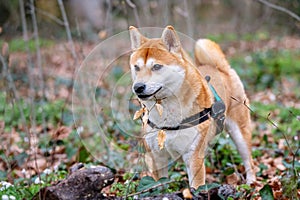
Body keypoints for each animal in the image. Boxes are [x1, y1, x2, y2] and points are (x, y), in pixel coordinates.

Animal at [128, 25, 255, 188]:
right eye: (136, 67)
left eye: (156, 66)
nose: (138, 87)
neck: (167, 111)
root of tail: (222, 69)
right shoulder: (157, 158)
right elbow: (160, 184)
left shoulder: (193, 157)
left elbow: (196, 187)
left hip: (240, 134)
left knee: (249, 160)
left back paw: (251, 183)